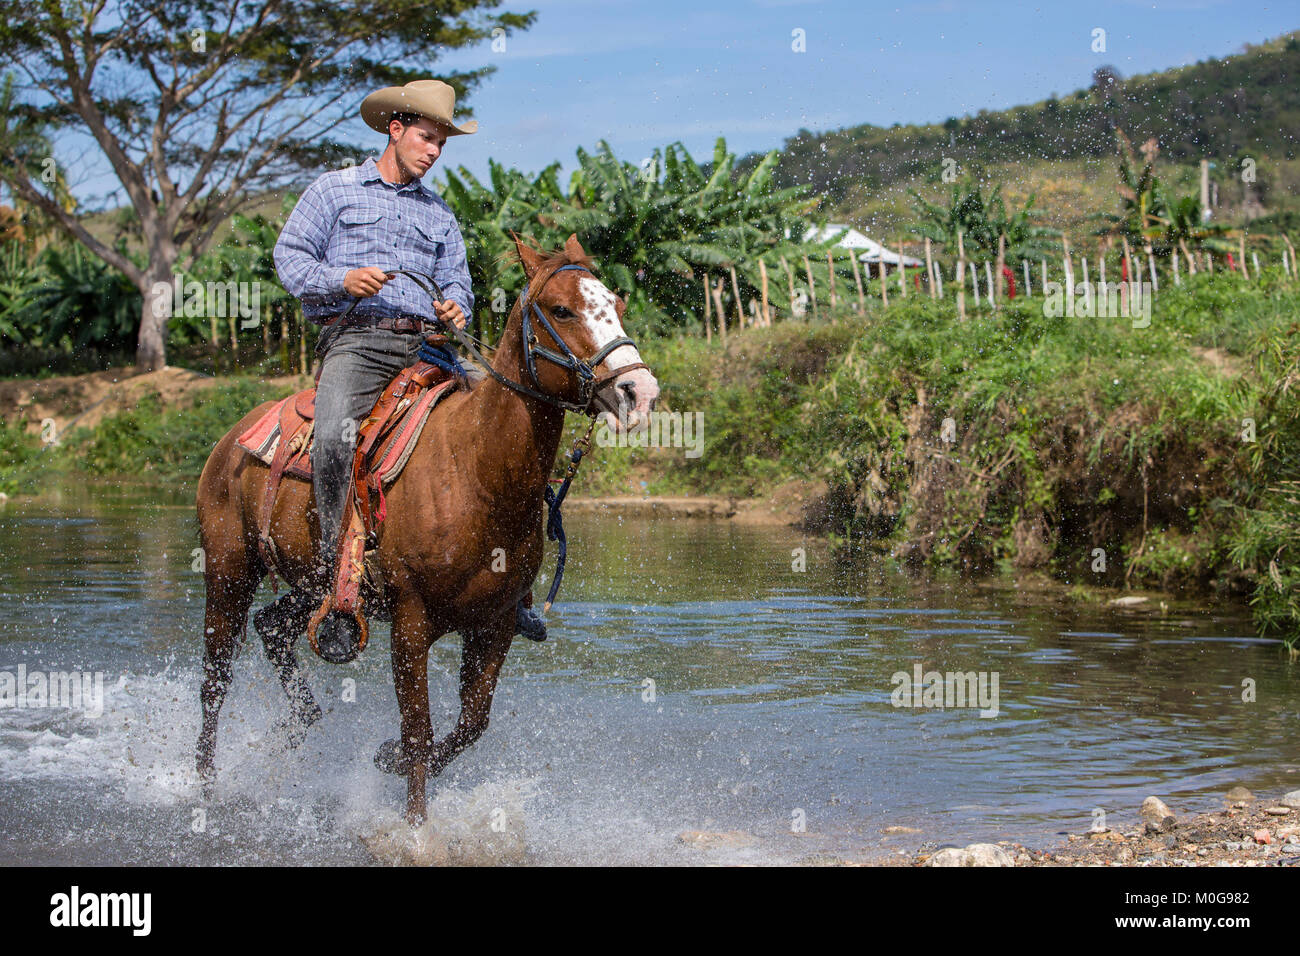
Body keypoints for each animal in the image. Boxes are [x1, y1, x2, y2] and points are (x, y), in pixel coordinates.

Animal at [192, 231, 660, 822]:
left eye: (617, 304)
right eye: (560, 309)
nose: (640, 392)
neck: (475, 472)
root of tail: (230, 439)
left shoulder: (495, 624)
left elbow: (471, 723)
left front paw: (387, 759)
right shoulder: (411, 624)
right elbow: (419, 731)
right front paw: (415, 825)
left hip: (312, 586)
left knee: (272, 627)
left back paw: (298, 723)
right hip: (228, 572)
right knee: (215, 679)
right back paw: (205, 785)